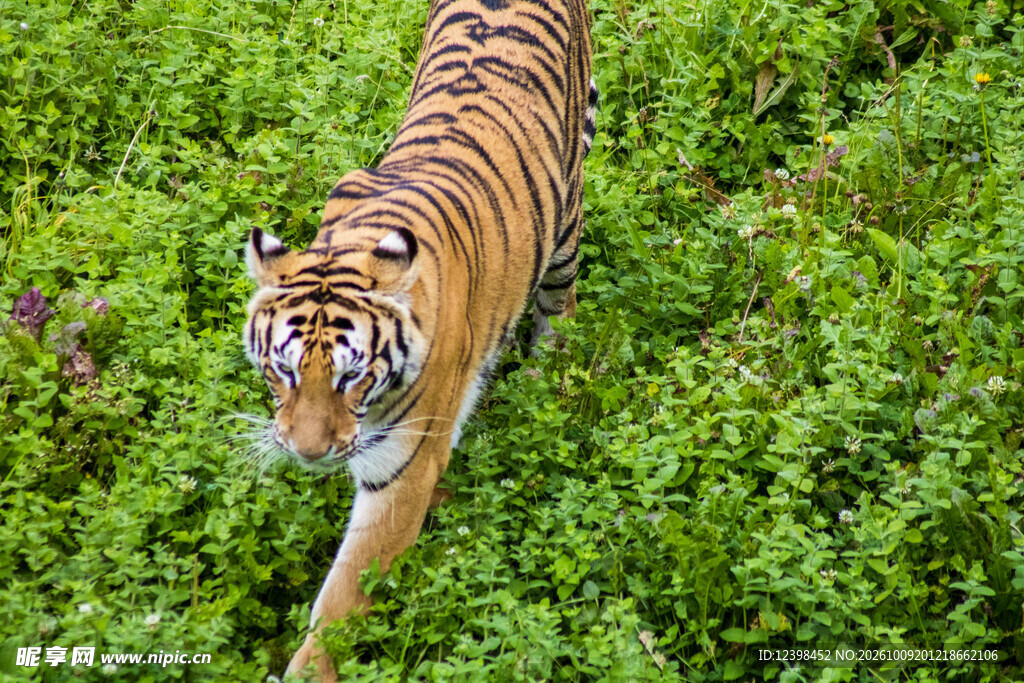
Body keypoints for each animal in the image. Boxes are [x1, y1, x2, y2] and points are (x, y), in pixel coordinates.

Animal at [242, 0, 596, 679]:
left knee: (559, 301)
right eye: (285, 370)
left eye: (352, 376)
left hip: (564, 222)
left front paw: (310, 666)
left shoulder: (402, 469)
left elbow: (344, 595)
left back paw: (545, 371)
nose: (306, 453)